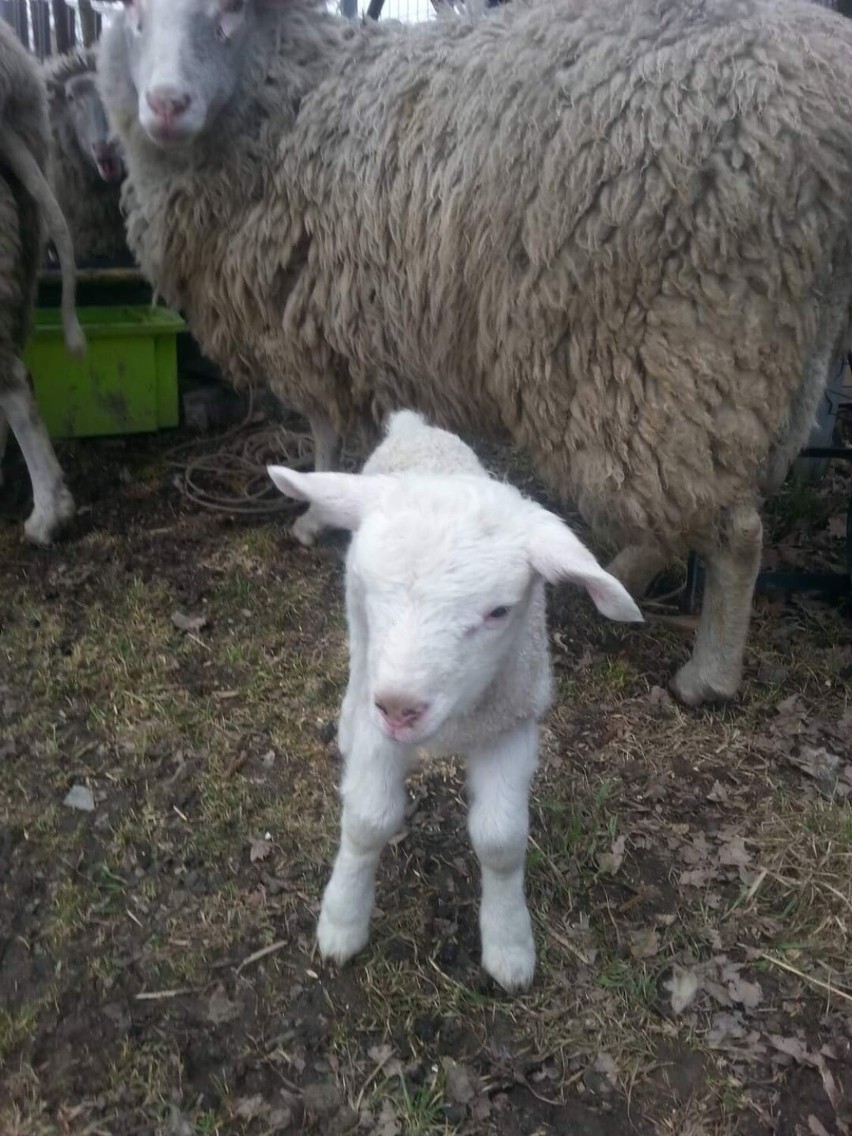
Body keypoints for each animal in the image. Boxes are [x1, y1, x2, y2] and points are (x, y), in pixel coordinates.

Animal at [96, 0, 852, 704]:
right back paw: (622, 576)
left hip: (676, 333)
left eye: (228, 13)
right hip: (774, 343)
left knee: (734, 528)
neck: (295, 98)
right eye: (133, 15)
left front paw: (313, 514)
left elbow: (322, 427)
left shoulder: (302, 317)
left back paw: (707, 674)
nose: (165, 105)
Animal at [270, 413, 645, 990]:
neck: (455, 724)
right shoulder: (381, 725)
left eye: (499, 612)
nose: (399, 707)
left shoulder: (513, 725)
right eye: (373, 584)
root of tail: (413, 426)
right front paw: (342, 921)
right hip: (358, 631)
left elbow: (501, 840)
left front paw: (509, 945)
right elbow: (367, 821)